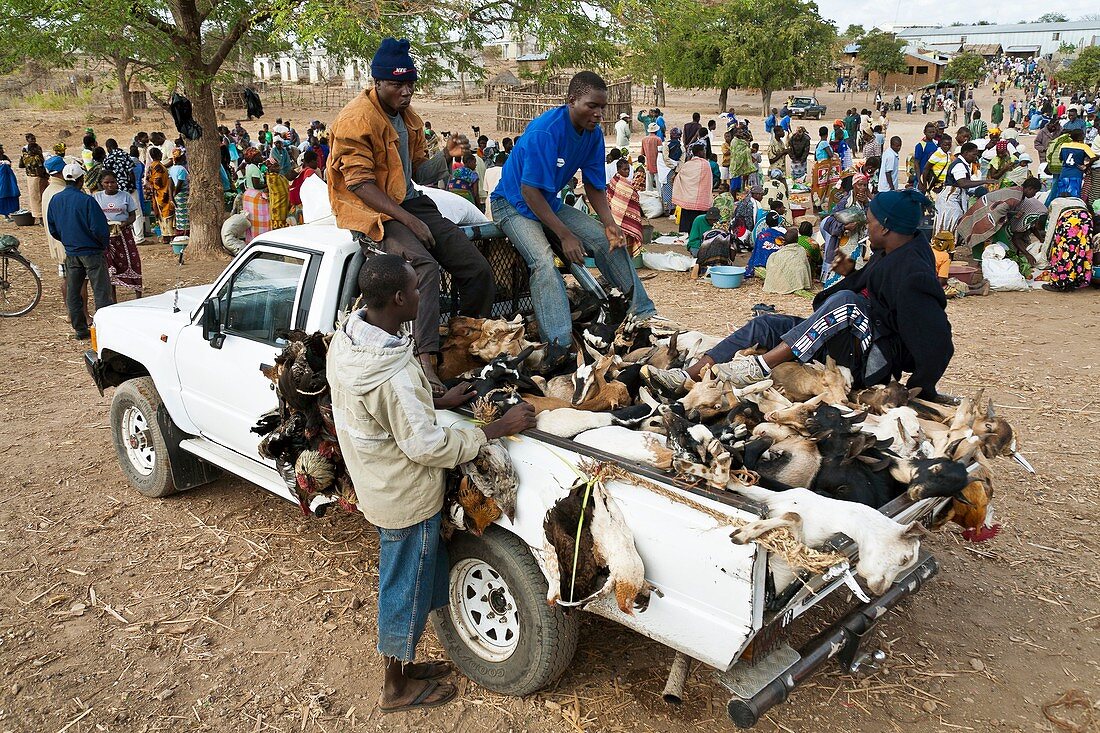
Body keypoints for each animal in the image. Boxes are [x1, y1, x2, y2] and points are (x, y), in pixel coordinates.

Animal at [734, 484, 924, 594]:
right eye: (905, 559)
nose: (881, 590)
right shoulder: (772, 497)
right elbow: (746, 488)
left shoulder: (801, 553)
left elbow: (794, 517)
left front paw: (743, 533)